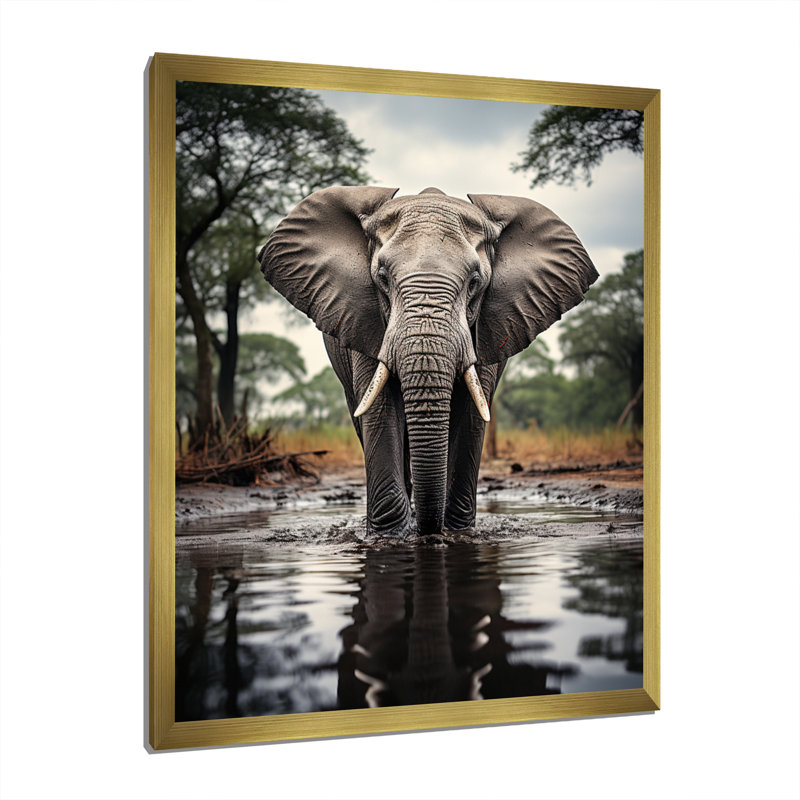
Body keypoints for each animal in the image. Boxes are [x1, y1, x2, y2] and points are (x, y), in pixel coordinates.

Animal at [259, 186, 598, 536]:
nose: (429, 531)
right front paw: (388, 536)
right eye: (382, 278)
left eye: (475, 282)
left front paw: (456, 532)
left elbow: (471, 414)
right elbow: (380, 411)